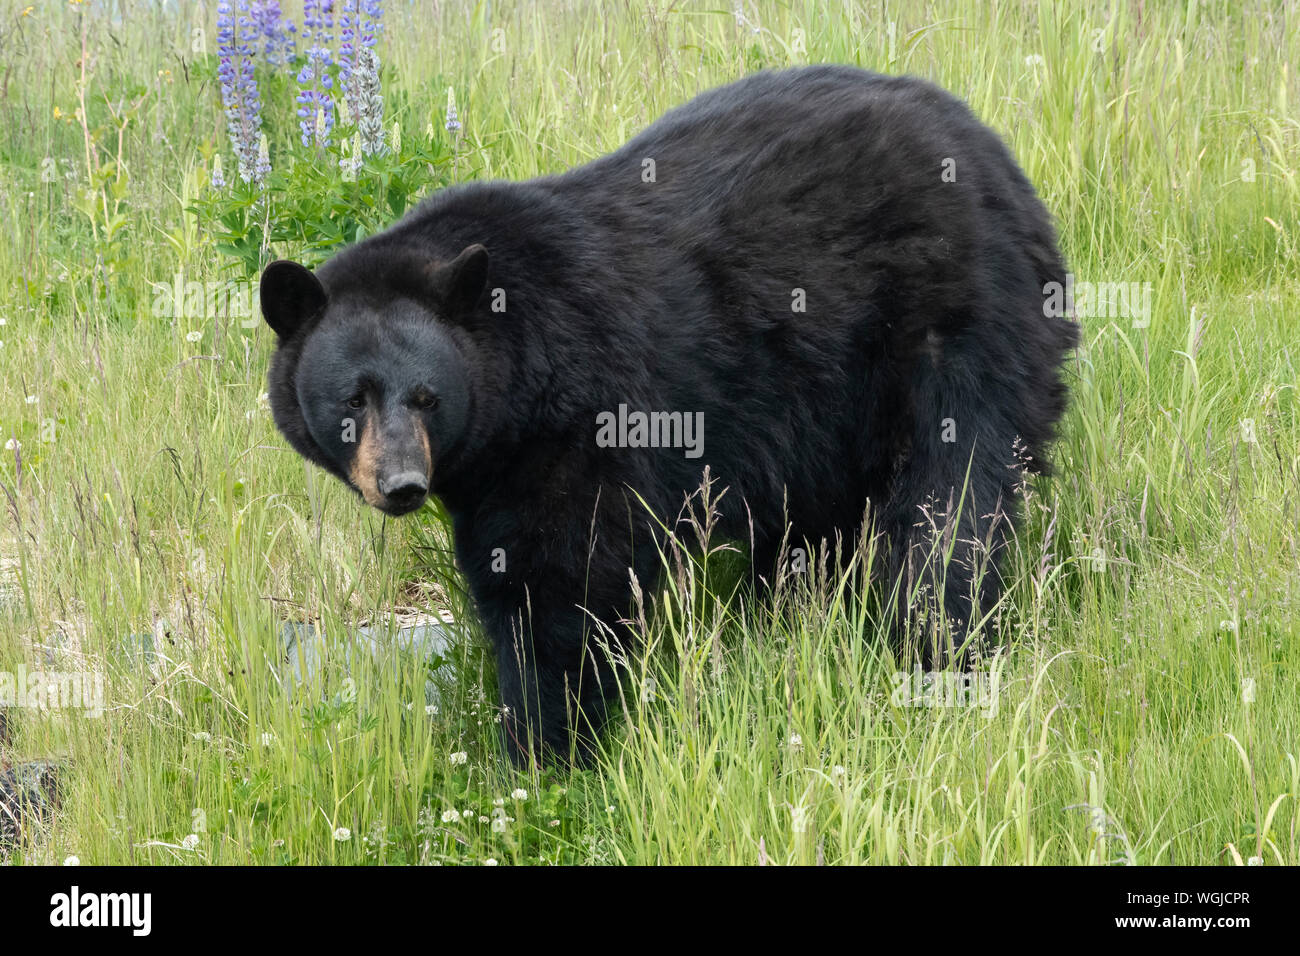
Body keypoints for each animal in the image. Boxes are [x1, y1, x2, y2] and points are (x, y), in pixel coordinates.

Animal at [258, 65, 1071, 764]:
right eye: (352, 399)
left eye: (428, 396)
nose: (401, 483)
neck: (520, 381)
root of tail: (1000, 159)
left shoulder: (583, 418)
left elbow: (564, 577)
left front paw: (548, 746)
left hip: (951, 323)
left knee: (950, 502)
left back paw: (938, 647)